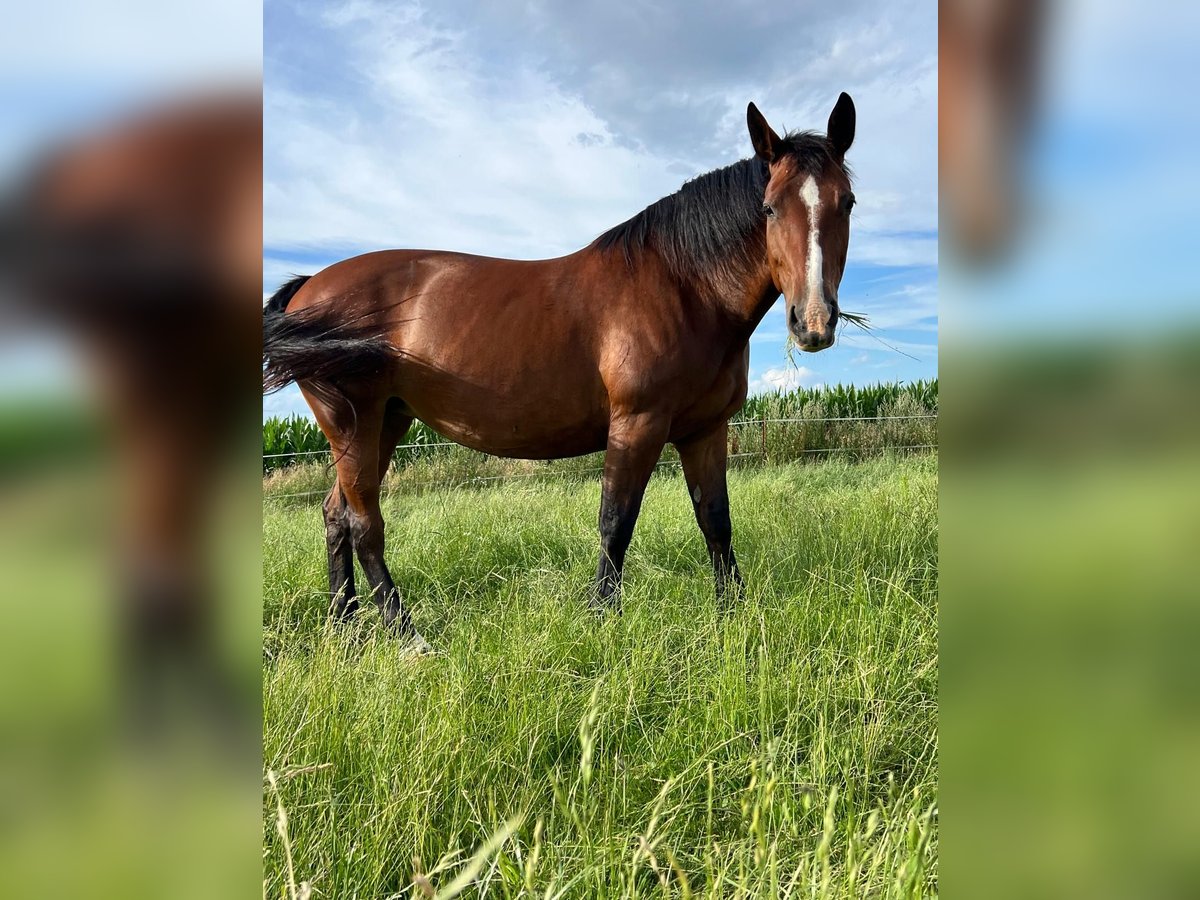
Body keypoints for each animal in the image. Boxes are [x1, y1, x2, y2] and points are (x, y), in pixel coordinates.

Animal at [267, 93, 859, 648]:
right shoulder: (637, 425)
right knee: (364, 522)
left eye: (847, 203)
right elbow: (615, 523)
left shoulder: (704, 430)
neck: (684, 286)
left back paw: (343, 624)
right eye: (769, 209)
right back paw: (407, 636)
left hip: (385, 421)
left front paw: (731, 615)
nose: (813, 322)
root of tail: (309, 287)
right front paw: (602, 619)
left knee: (336, 514)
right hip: (352, 421)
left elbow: (715, 520)